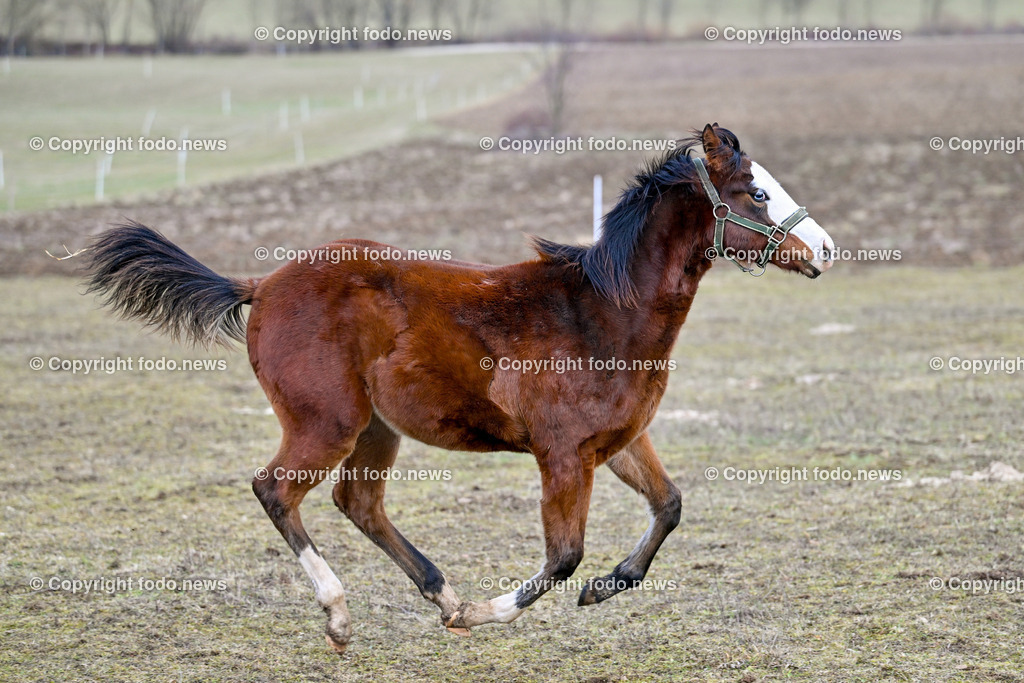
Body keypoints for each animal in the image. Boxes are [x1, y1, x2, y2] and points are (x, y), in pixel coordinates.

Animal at [83, 124, 835, 653]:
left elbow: (669, 506)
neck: (603, 311)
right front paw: (489, 610)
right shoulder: (563, 455)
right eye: (757, 193)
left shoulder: (619, 442)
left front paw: (602, 589)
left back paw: (439, 596)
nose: (826, 250)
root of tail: (262, 283)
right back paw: (343, 614)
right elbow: (563, 555)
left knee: (358, 503)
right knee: (276, 491)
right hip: (327, 422)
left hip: (375, 428)